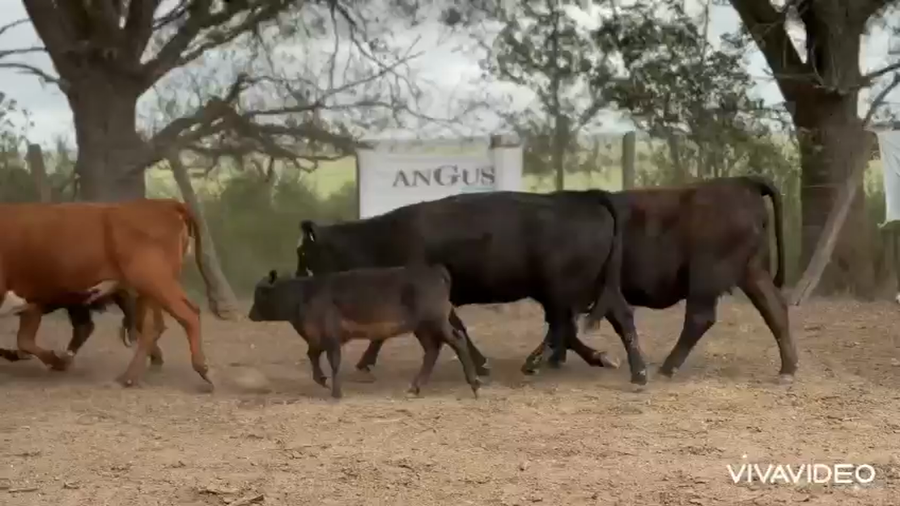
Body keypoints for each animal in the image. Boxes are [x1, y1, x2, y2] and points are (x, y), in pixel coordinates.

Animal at [0, 199, 227, 387]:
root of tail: (165, 203)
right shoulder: (32, 299)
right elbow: (25, 339)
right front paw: (54, 360)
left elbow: (25, 340)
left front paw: (56, 360)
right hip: (148, 290)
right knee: (151, 326)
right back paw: (131, 376)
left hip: (154, 280)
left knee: (188, 314)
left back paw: (203, 370)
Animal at [248, 265, 482, 399]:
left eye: (259, 293)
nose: (250, 314)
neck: (304, 295)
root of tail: (435, 270)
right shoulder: (318, 338)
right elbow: (312, 355)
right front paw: (322, 380)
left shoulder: (330, 336)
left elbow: (334, 361)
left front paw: (336, 392)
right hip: (422, 327)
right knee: (432, 349)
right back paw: (414, 388)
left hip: (435, 320)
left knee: (457, 340)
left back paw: (474, 384)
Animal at [295, 190, 648, 386]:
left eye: (303, 254)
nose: (297, 282)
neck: (384, 238)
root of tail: (585, 196)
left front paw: (365, 363)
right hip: (587, 286)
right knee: (610, 318)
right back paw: (634, 369)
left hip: (564, 287)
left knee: (566, 324)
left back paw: (537, 362)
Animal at [356, 176, 797, 384]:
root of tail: (741, 182)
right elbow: (563, 328)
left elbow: (563, 327)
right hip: (752, 272)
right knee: (775, 310)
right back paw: (788, 367)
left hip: (707, 276)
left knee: (701, 318)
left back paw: (667, 367)